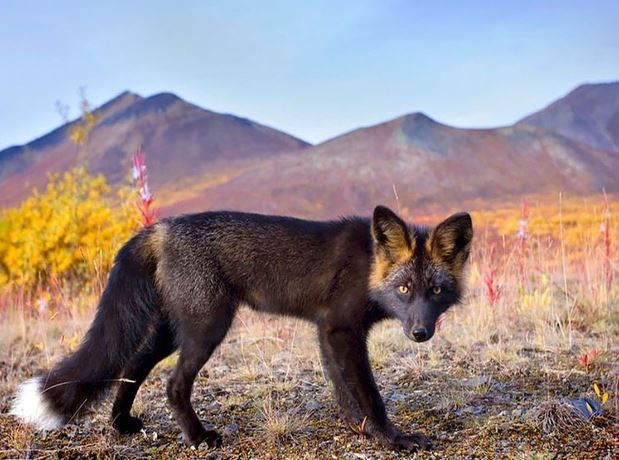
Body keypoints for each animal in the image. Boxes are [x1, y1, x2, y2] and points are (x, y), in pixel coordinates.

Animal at [10, 207, 474, 452]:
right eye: (403, 289)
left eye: (435, 290)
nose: (421, 333)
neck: (369, 267)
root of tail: (162, 227)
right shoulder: (341, 329)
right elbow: (369, 395)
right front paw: (392, 440)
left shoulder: (326, 331)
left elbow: (344, 392)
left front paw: (357, 430)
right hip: (207, 327)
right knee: (173, 384)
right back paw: (198, 437)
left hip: (171, 330)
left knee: (132, 366)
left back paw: (121, 423)